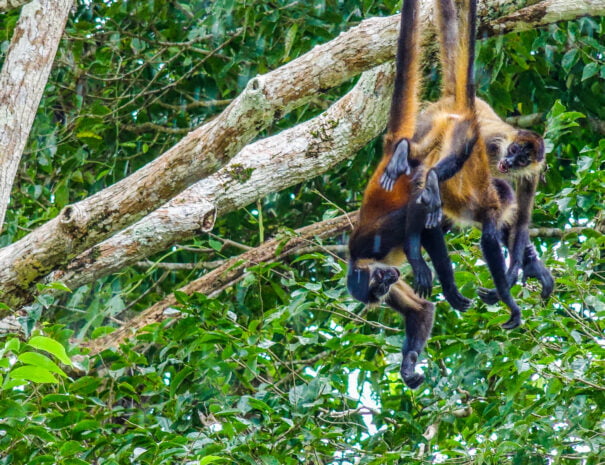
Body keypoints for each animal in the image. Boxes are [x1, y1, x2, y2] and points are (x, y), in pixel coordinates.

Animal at [346, 0, 470, 388]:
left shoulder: (371, 244)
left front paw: (429, 270)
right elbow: (422, 309)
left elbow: (417, 219)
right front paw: (408, 365)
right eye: (377, 291)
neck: (359, 261)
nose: (387, 282)